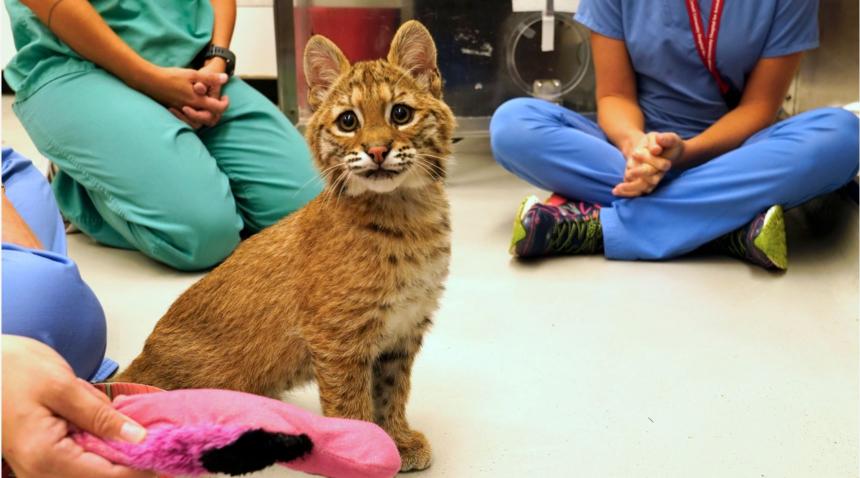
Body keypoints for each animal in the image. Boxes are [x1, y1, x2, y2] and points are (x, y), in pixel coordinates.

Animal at [118, 20, 456, 468]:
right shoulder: (338, 340)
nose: (377, 150)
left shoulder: (402, 331)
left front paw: (397, 438)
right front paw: (366, 450)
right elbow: (351, 404)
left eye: (400, 114)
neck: (405, 209)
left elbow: (391, 391)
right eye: (348, 121)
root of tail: (135, 365)